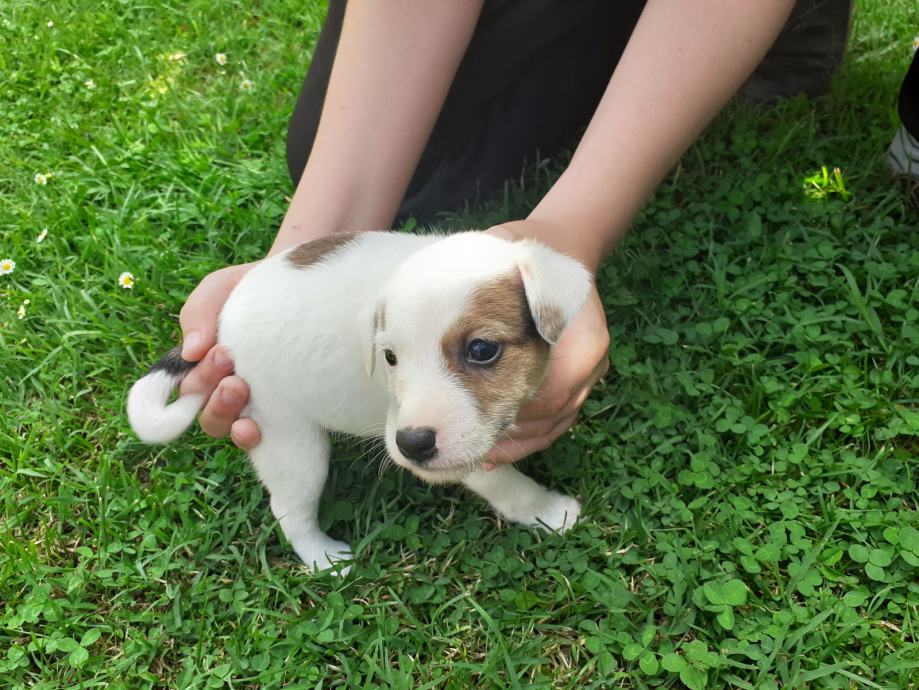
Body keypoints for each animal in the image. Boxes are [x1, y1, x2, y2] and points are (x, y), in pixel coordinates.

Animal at [127, 231, 591, 573]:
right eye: (390, 357)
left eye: (481, 350)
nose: (411, 446)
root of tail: (223, 325)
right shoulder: (467, 455)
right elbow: (508, 485)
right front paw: (550, 511)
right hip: (290, 440)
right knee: (288, 509)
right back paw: (324, 557)